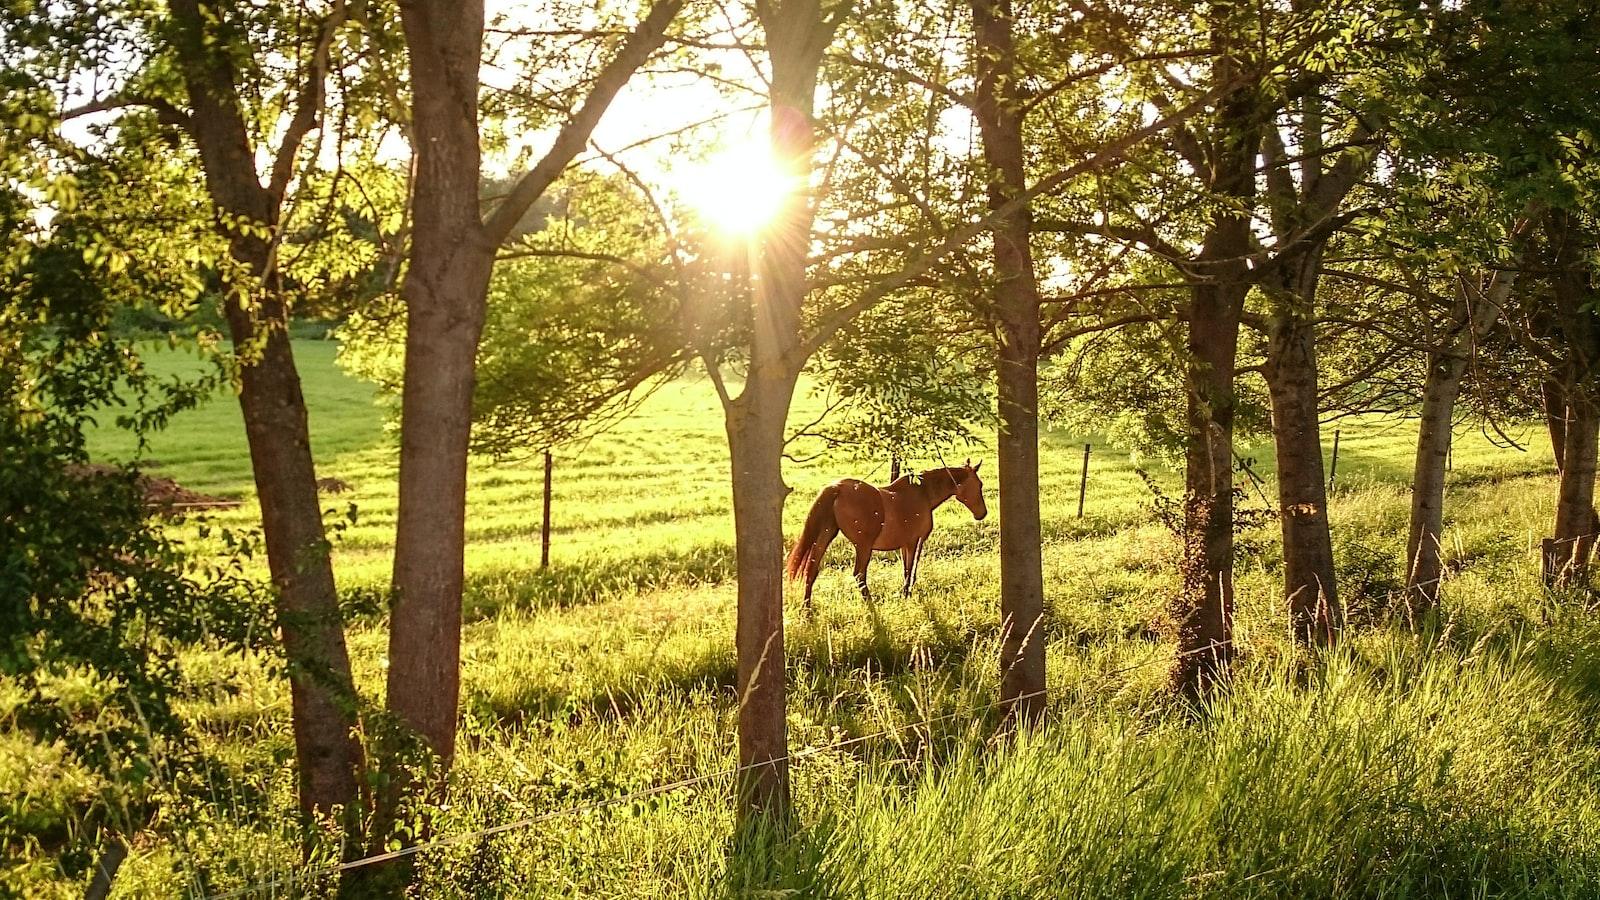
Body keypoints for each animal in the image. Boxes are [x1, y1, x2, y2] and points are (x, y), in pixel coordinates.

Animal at [787, 461, 985, 602]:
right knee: (859, 575)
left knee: (811, 571)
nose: (982, 513)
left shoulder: (905, 545)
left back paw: (807, 612)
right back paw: (870, 603)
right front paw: (906, 595)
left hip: (825, 535)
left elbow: (906, 570)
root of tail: (837, 488)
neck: (923, 494)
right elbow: (910, 571)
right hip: (863, 546)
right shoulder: (915, 542)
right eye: (979, 485)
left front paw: (904, 594)